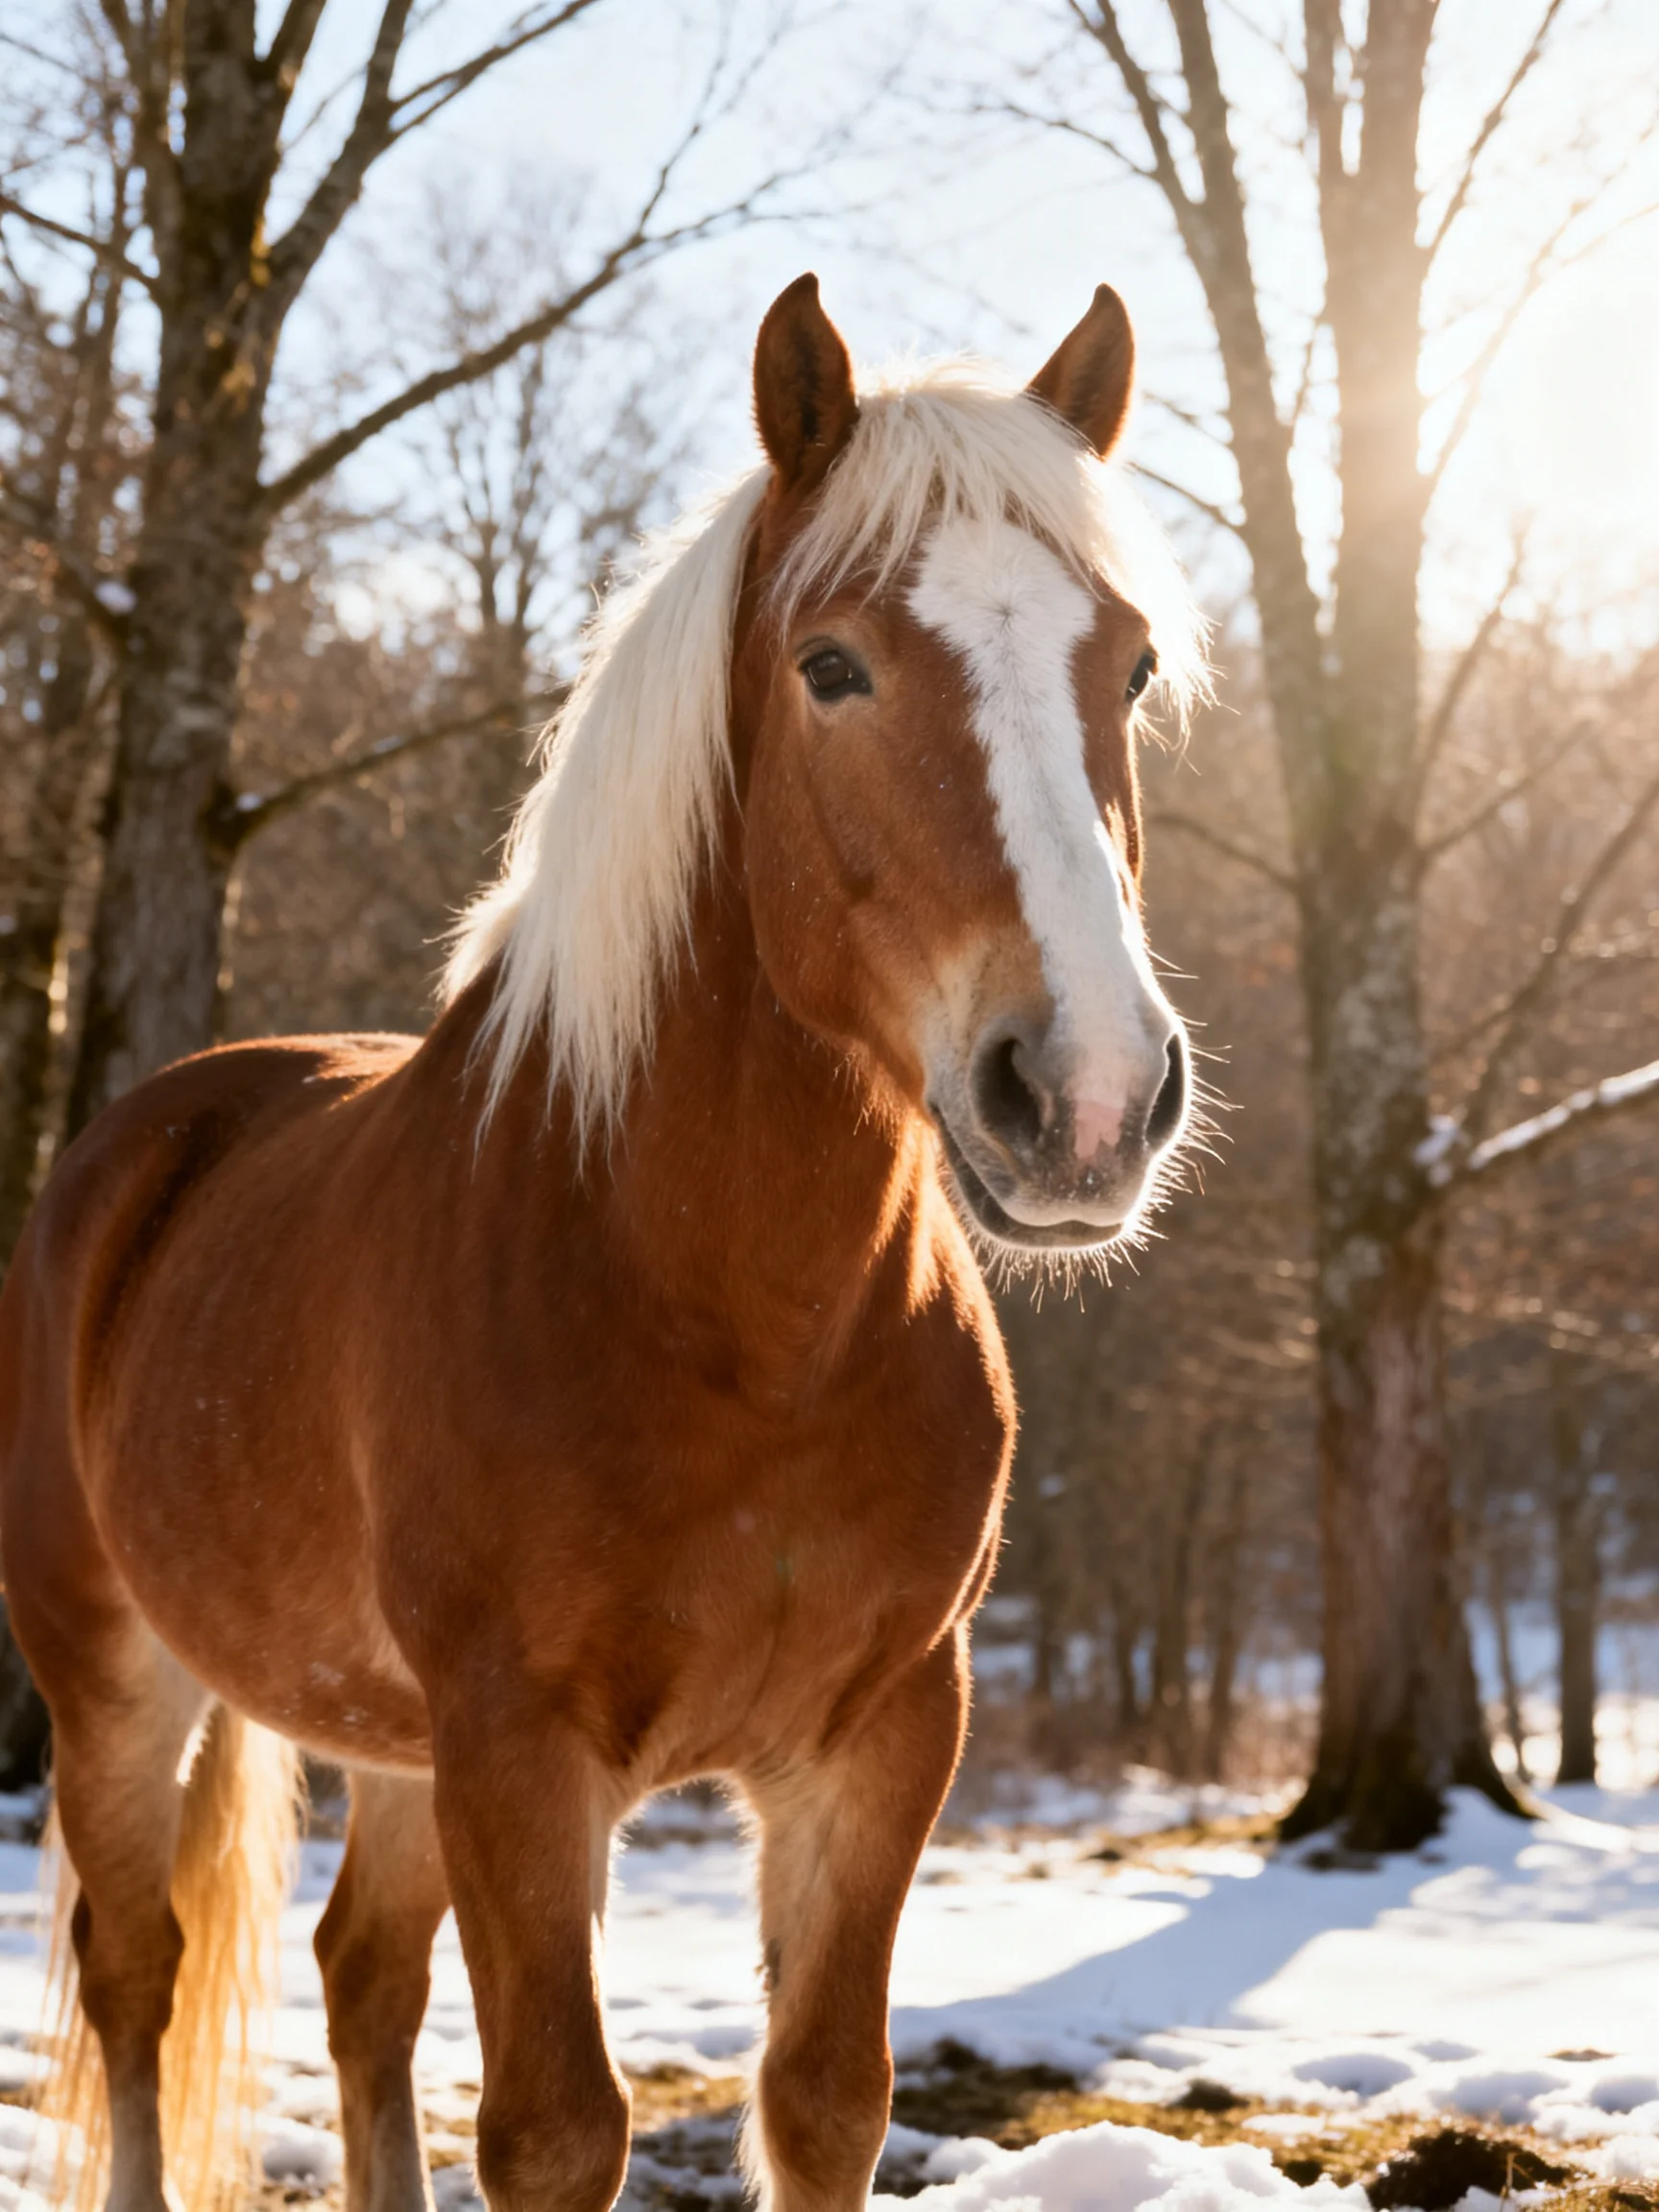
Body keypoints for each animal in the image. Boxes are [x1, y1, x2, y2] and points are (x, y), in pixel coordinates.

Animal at [0, 273, 1201, 2212]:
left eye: (1136, 666)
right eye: (832, 665)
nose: (1086, 1093)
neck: (734, 1320)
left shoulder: (881, 1739)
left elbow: (824, 2097)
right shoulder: (521, 1748)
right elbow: (557, 2127)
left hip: (390, 1746)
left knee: (360, 1978)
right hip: (113, 1667)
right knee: (133, 1976)